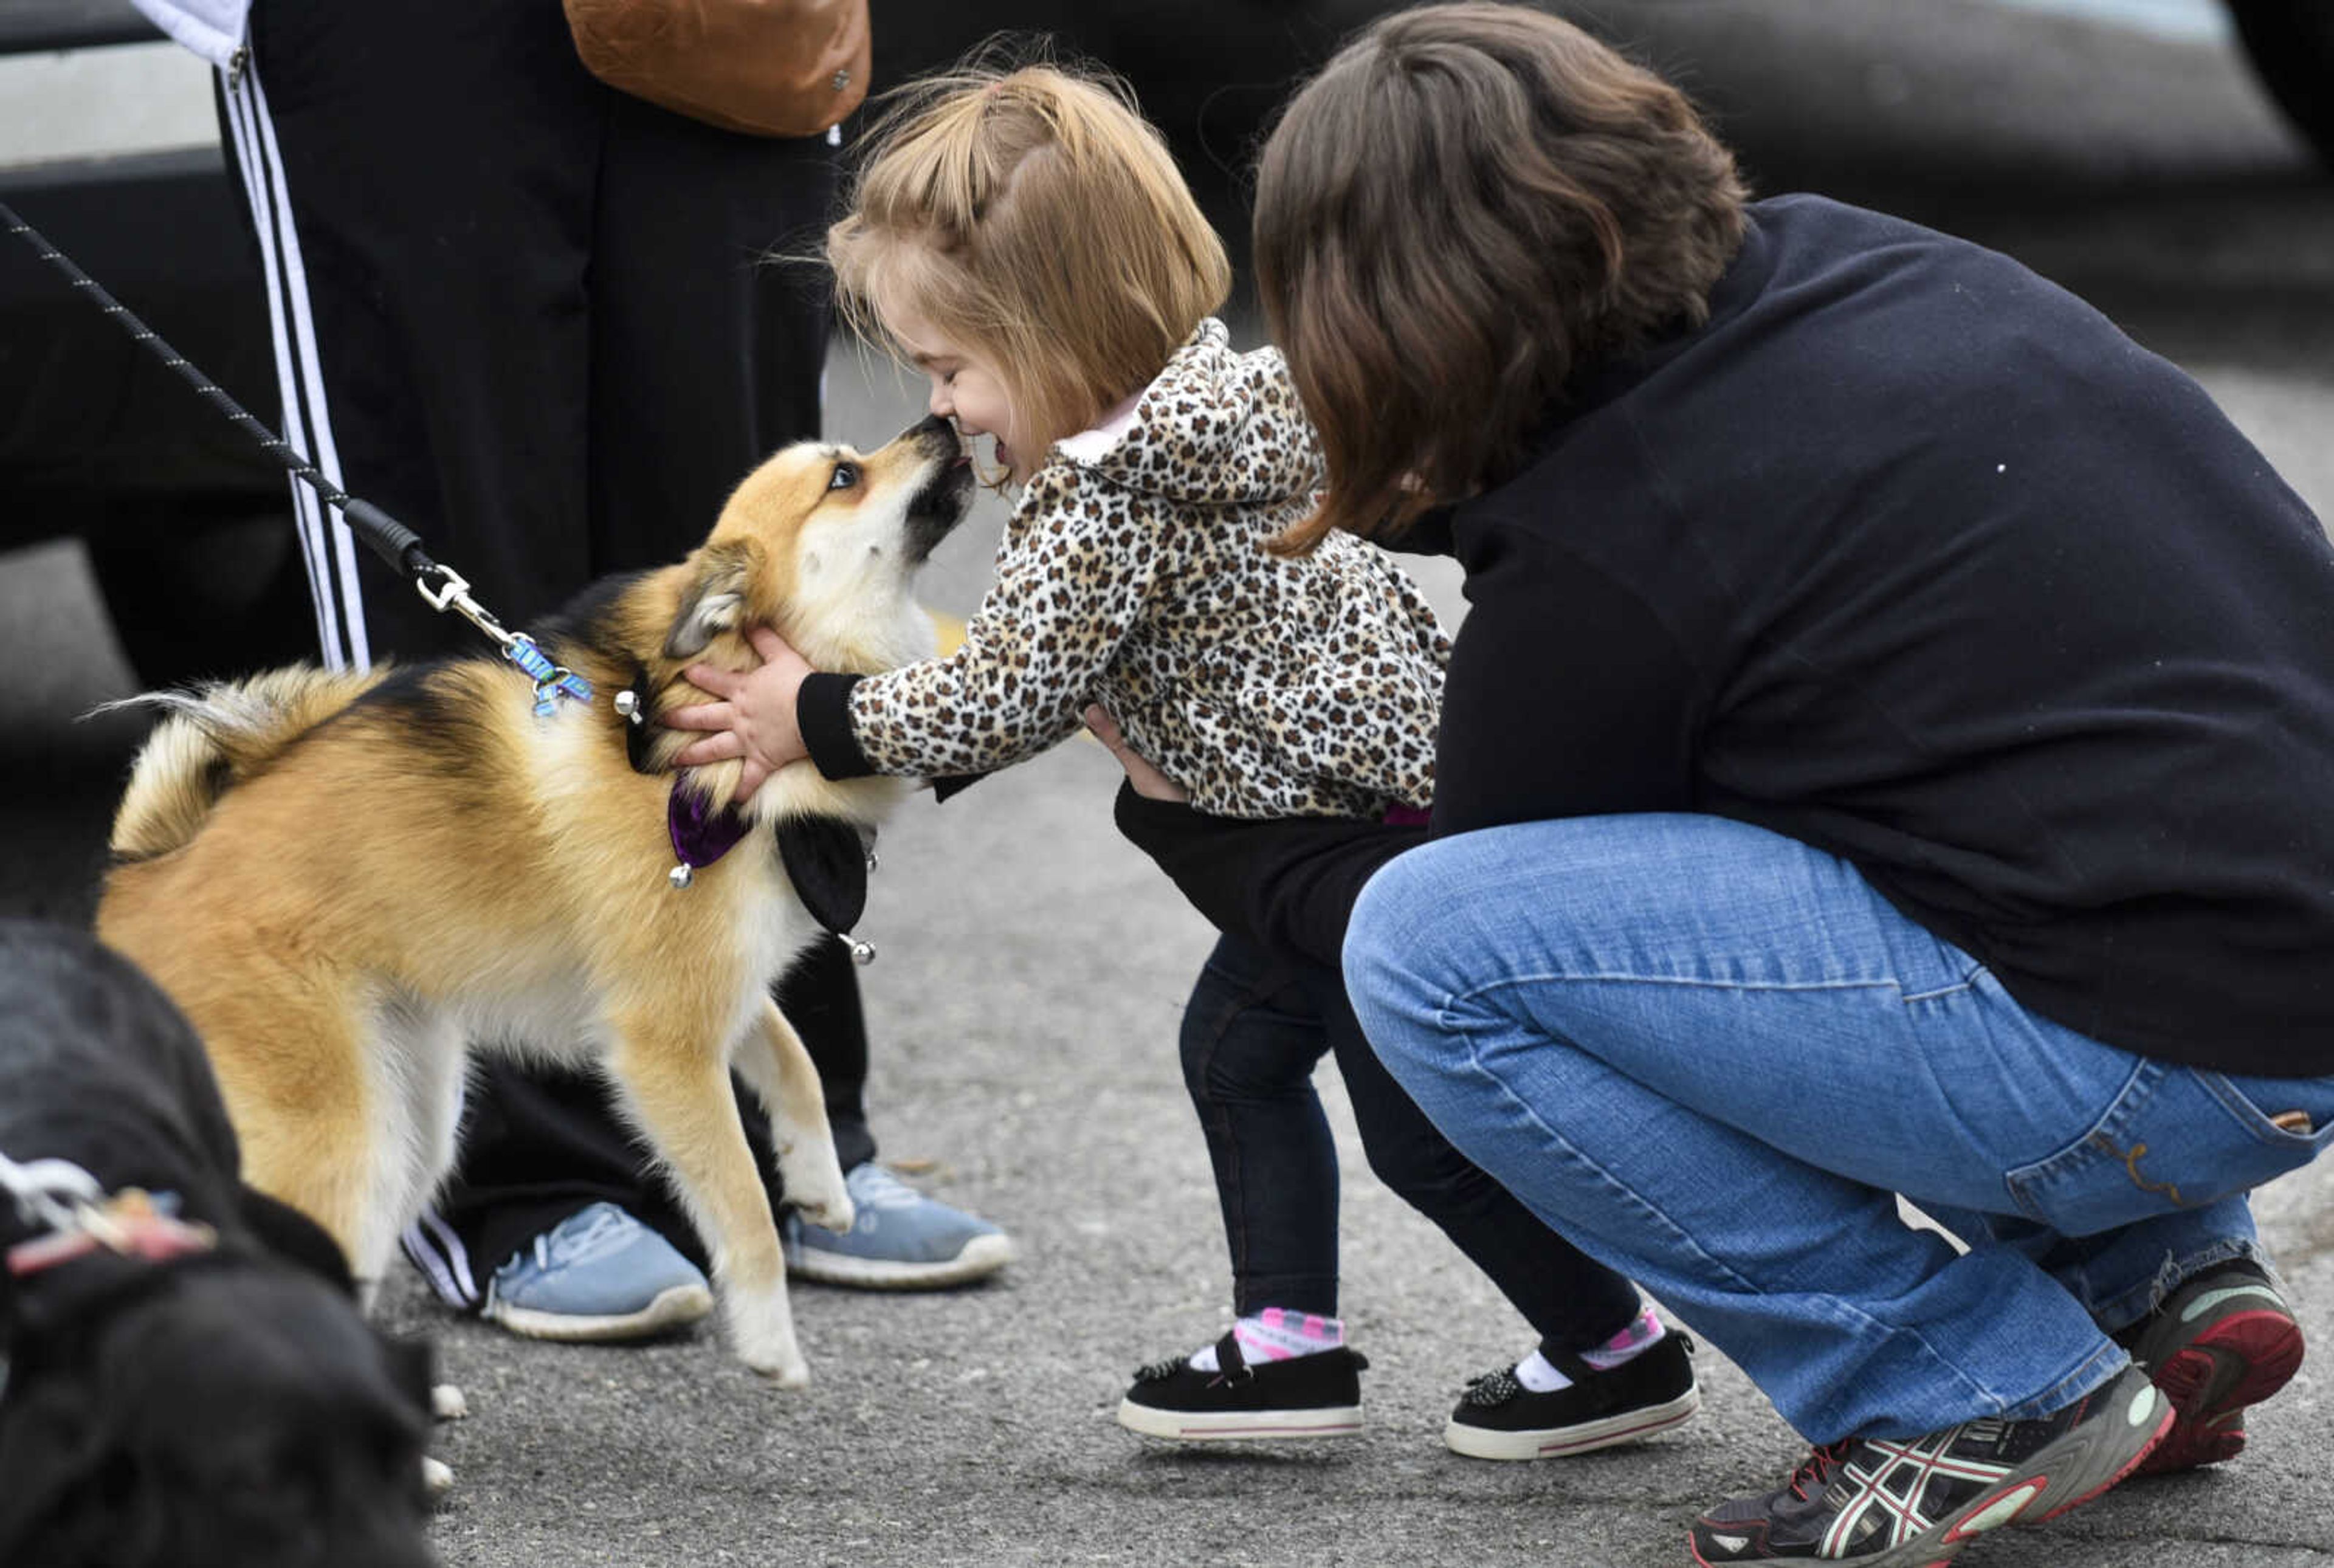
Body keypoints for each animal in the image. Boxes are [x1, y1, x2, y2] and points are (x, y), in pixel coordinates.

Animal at [95, 413, 971, 1381]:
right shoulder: (665, 1044)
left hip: (414, 1117)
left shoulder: (711, 990)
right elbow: (743, 1207)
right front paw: (772, 1343)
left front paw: (821, 1186)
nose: (944, 421)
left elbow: (794, 1061)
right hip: (335, 1138)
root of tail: (141, 875)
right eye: (844, 478)